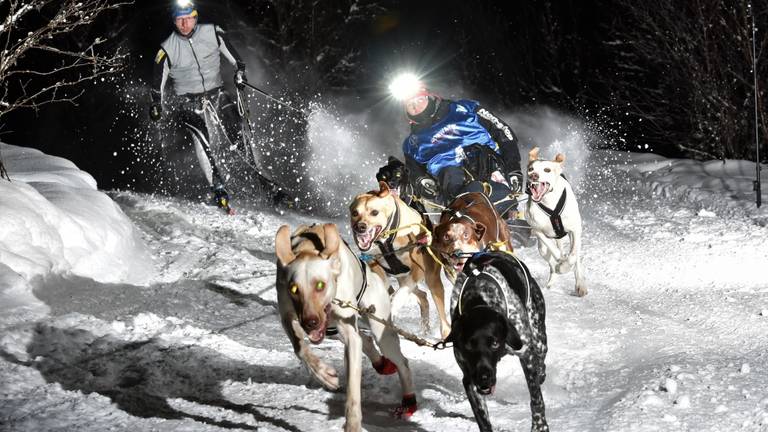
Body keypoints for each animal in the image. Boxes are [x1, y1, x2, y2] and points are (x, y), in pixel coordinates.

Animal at [274, 224, 416, 430]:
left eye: (320, 285)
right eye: (294, 289)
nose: (310, 322)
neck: (308, 247)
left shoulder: (349, 336)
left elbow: (353, 390)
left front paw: (353, 424)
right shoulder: (287, 317)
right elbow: (300, 348)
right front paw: (323, 374)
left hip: (381, 331)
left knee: (401, 361)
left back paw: (409, 400)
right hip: (333, 330)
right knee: (365, 339)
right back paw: (380, 363)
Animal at [348, 181, 450, 338]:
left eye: (374, 212)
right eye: (355, 213)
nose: (360, 227)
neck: (387, 240)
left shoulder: (417, 269)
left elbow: (398, 295)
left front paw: (393, 306)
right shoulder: (374, 264)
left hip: (432, 280)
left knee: (442, 318)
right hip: (403, 277)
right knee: (423, 296)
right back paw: (424, 328)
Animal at [444, 251, 544, 432]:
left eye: (495, 343)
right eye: (468, 345)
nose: (484, 377)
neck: (479, 296)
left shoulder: (527, 355)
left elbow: (536, 398)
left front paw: (540, 426)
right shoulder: (469, 379)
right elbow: (482, 419)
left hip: (539, 337)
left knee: (541, 361)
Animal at [520, 148, 588, 296]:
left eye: (547, 170)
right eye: (531, 169)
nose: (534, 176)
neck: (550, 204)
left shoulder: (575, 230)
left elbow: (572, 256)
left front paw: (566, 265)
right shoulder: (538, 231)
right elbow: (554, 251)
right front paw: (561, 264)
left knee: (576, 259)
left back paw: (580, 285)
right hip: (542, 249)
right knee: (551, 263)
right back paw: (552, 279)